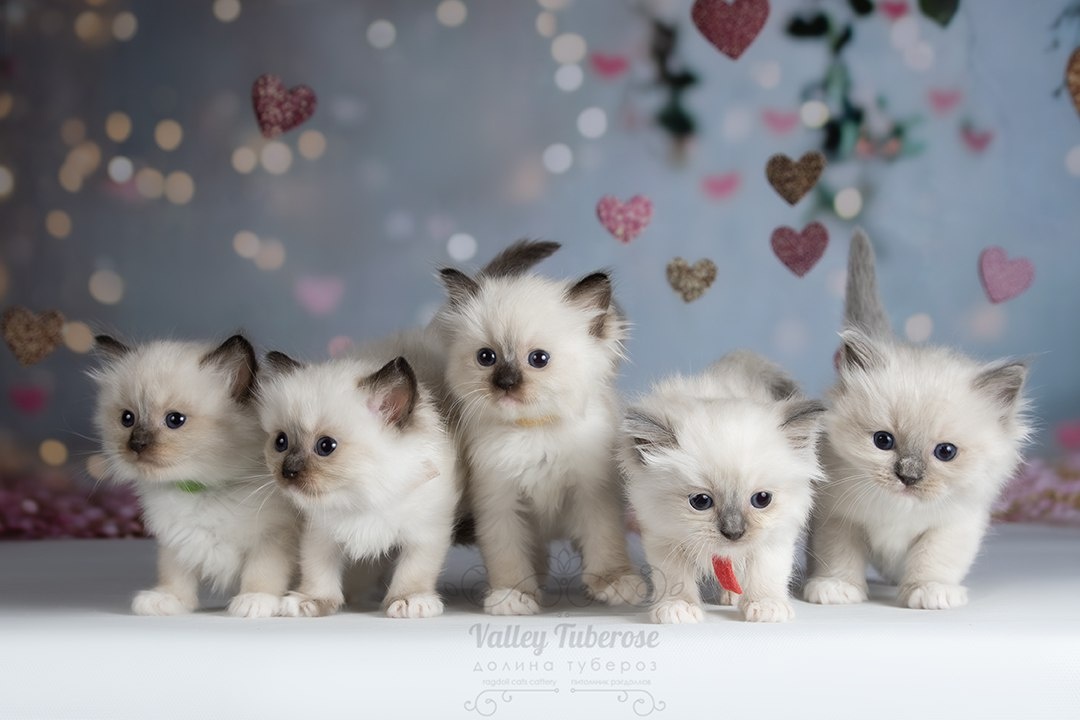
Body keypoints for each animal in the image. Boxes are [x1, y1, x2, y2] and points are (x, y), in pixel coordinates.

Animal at [90, 334, 297, 617]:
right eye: (127, 418)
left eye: (175, 420)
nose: (137, 444)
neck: (199, 489)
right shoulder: (176, 538)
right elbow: (174, 573)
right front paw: (168, 600)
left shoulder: (273, 536)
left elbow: (263, 572)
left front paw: (255, 601)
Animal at [256, 351, 461, 618]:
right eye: (281, 442)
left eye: (326, 446)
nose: (287, 472)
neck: (361, 498)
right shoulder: (320, 533)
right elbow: (317, 571)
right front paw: (310, 601)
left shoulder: (425, 533)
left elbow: (414, 572)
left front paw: (408, 601)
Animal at [432, 240, 644, 615]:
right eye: (486, 357)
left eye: (539, 359)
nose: (505, 383)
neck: (533, 430)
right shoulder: (499, 502)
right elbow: (507, 555)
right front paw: (513, 596)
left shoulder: (594, 493)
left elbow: (605, 541)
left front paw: (615, 582)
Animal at [620, 350, 826, 623]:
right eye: (700, 502)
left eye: (762, 499)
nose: (734, 533)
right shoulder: (664, 538)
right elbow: (675, 579)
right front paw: (678, 608)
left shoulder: (774, 538)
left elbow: (765, 574)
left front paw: (766, 606)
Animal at [803, 229, 1031, 609]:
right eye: (883, 441)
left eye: (946, 453)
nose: (908, 477)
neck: (899, 509)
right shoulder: (837, 516)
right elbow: (839, 557)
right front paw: (836, 588)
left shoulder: (953, 524)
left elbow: (933, 559)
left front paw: (930, 592)